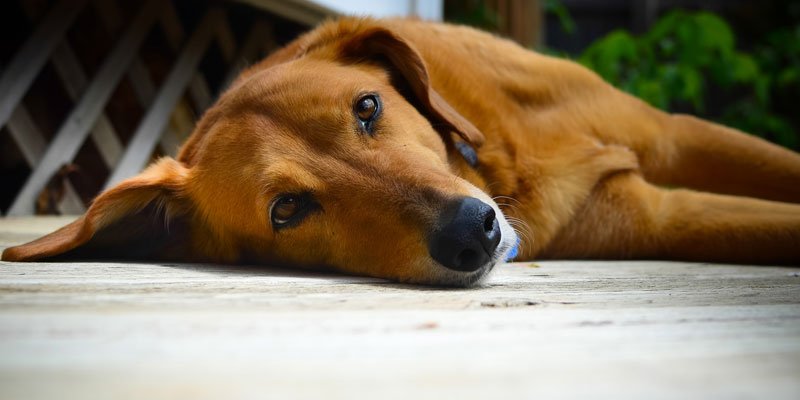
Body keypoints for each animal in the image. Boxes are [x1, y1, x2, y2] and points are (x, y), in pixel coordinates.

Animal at [1, 18, 800, 284]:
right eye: (286, 210)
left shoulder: (677, 133)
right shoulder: (657, 215)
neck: (503, 159)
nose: (472, 233)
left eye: (368, 108)